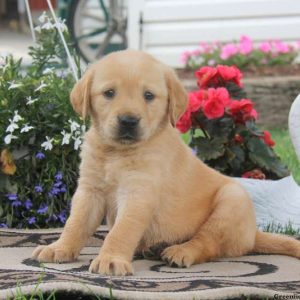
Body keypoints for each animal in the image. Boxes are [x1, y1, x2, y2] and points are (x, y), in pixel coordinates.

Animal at [32, 49, 300, 276]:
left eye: (149, 96)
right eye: (109, 93)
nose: (128, 121)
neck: (117, 153)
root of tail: (253, 234)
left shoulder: (138, 194)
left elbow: (121, 230)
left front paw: (110, 259)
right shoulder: (90, 190)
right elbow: (75, 223)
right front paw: (59, 248)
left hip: (232, 201)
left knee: (207, 243)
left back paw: (180, 251)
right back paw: (152, 247)